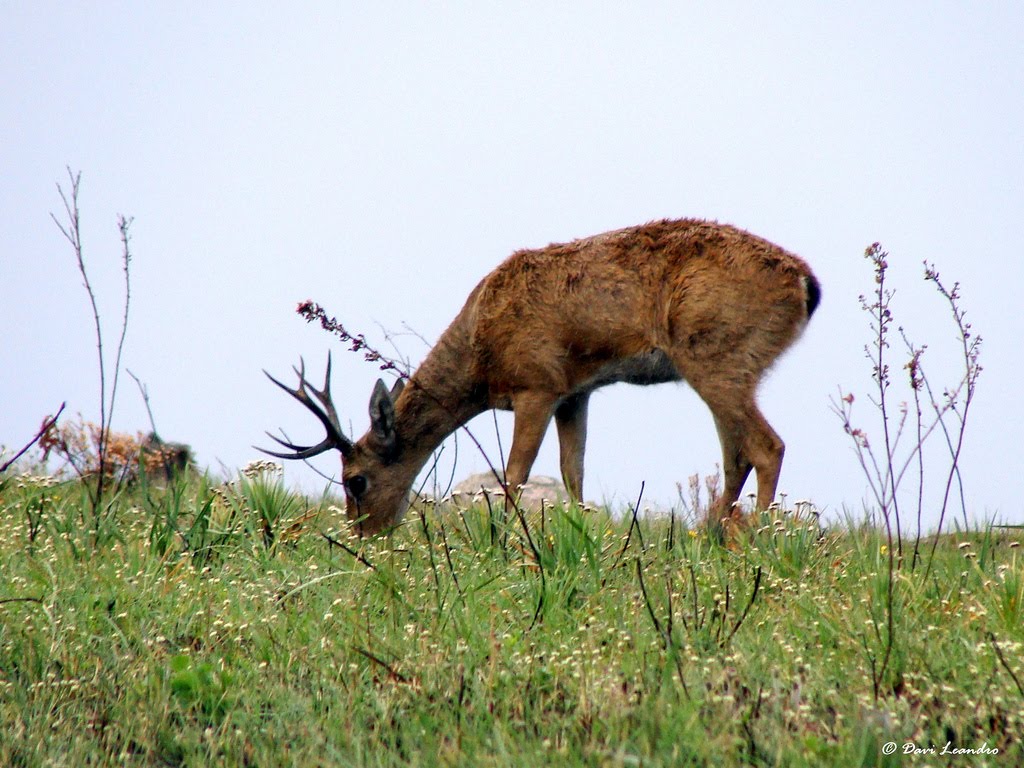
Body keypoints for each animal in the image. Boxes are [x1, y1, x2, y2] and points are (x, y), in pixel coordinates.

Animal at [266, 219, 823, 536]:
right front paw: (579, 532)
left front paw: (505, 541)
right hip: (720, 364)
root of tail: (805, 282)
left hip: (716, 355)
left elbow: (515, 474)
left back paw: (759, 538)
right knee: (736, 456)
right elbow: (572, 471)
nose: (364, 536)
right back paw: (709, 537)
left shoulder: (536, 383)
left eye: (355, 480)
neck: (479, 356)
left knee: (765, 447)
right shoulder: (576, 392)